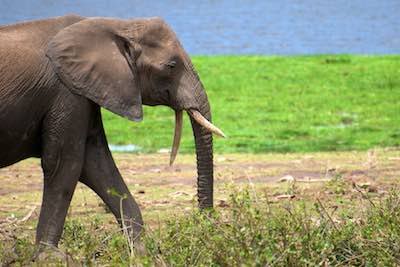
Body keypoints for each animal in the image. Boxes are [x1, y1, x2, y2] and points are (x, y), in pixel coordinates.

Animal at [0, 15, 225, 255]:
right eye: (172, 65)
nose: (204, 223)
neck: (118, 25)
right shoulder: (67, 93)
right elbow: (65, 164)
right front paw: (50, 256)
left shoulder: (85, 92)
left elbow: (97, 166)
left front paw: (141, 253)